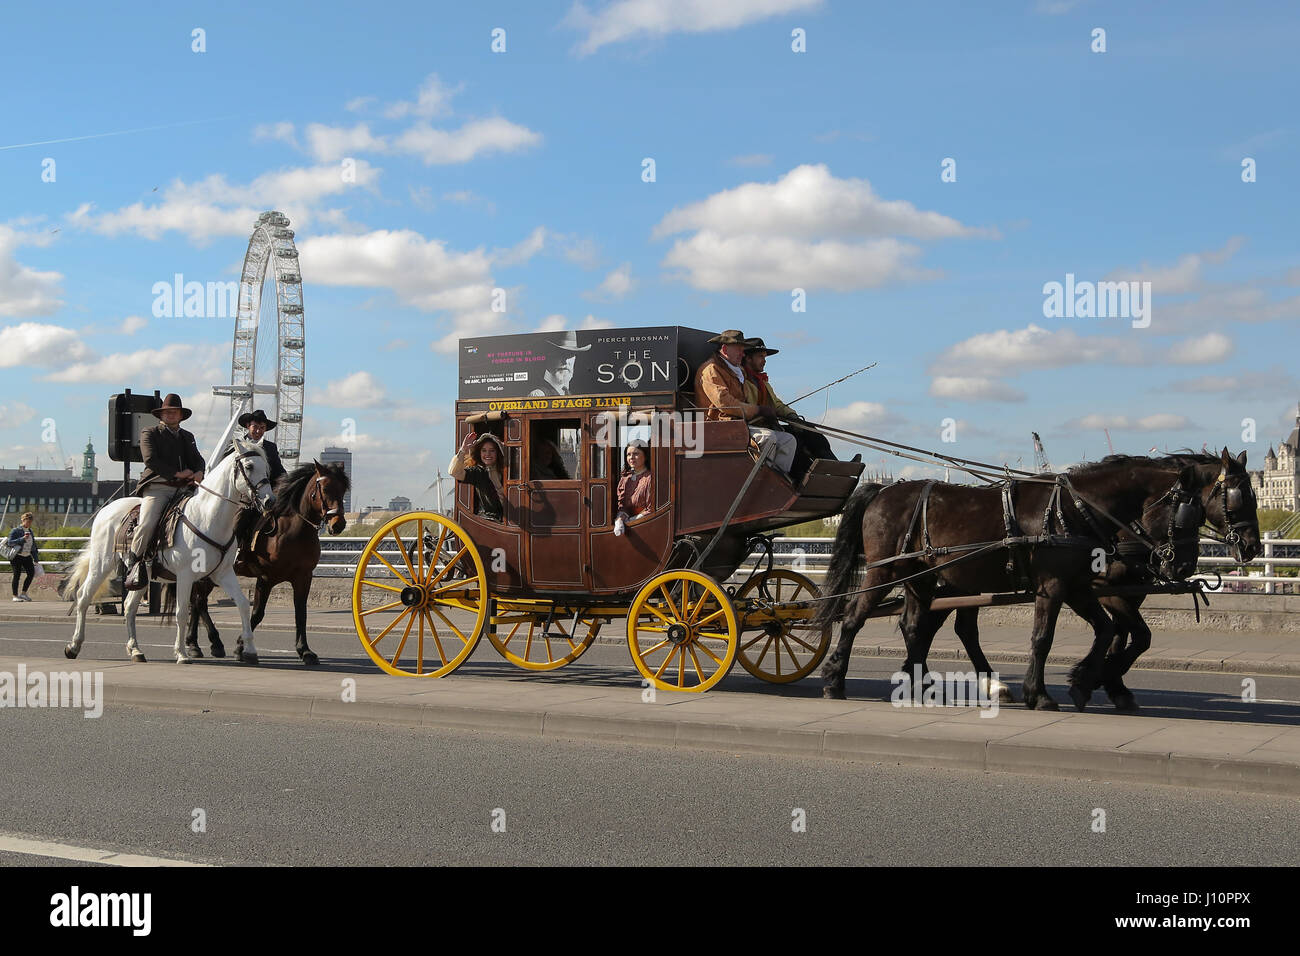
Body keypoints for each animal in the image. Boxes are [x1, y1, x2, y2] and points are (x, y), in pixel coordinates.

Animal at [64, 439, 276, 665]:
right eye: (249, 466)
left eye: (267, 467)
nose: (270, 501)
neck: (208, 518)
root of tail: (106, 509)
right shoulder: (185, 576)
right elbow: (182, 612)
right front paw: (182, 653)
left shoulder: (223, 573)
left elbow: (243, 605)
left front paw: (249, 650)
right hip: (101, 563)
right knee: (83, 596)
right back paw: (73, 646)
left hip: (141, 576)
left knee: (129, 607)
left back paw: (136, 650)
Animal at [185, 463, 351, 665]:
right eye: (325, 489)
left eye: (343, 489)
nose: (338, 524)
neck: (294, 531)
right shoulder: (266, 578)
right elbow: (257, 613)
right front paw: (241, 646)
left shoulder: (303, 577)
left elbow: (301, 613)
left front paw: (305, 650)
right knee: (198, 602)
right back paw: (205, 643)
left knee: (197, 602)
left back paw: (199, 643)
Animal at [821, 455, 1206, 712]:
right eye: (1188, 515)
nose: (1184, 565)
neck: (1074, 508)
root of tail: (882, 490)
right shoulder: (1053, 585)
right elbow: (1042, 638)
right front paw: (1040, 694)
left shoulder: (1077, 586)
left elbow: (1106, 629)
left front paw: (1083, 682)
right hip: (885, 571)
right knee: (854, 617)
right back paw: (835, 679)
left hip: (921, 576)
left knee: (914, 625)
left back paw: (923, 684)